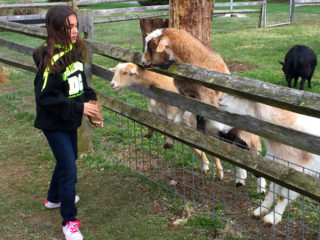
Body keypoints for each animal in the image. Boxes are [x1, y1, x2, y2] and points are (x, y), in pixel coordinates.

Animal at [215, 94, 320, 225]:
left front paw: (272, 218)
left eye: (239, 96)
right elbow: (272, 191)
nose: (219, 100)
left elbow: (283, 196)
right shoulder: (279, 168)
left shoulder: (299, 175)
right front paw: (260, 210)